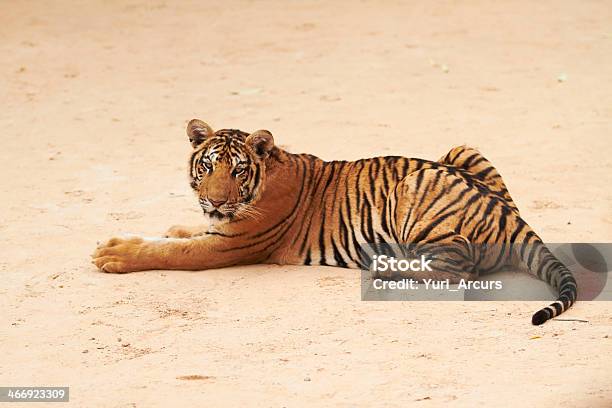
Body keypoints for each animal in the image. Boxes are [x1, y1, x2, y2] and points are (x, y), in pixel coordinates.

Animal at [92, 118, 580, 326]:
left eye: (237, 171)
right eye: (208, 166)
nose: (213, 199)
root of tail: (509, 214)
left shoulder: (230, 244)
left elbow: (171, 251)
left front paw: (112, 253)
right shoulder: (219, 228)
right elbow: (184, 232)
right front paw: (176, 226)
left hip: (413, 189)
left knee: (456, 268)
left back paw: (385, 269)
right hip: (461, 149)